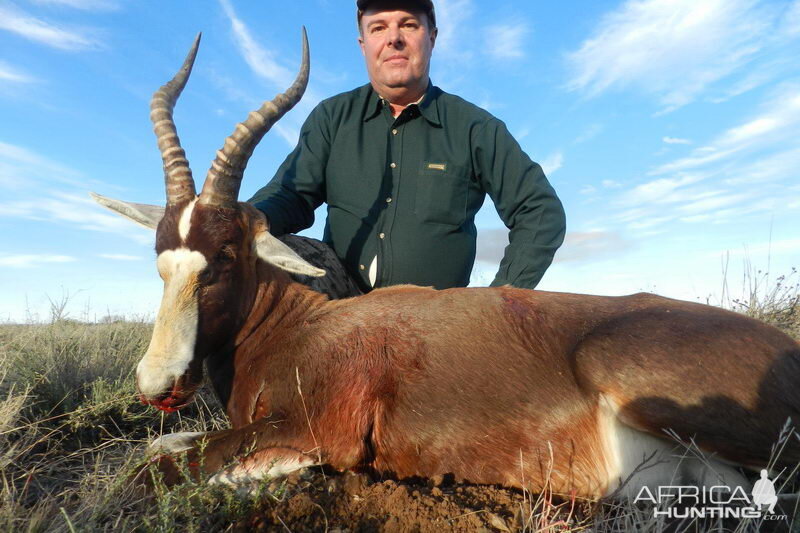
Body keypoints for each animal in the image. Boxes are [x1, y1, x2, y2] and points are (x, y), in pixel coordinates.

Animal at [95, 33, 800, 498]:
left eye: (226, 256)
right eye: (161, 259)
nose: (158, 384)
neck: (302, 324)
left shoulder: (319, 431)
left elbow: (163, 458)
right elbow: (162, 445)